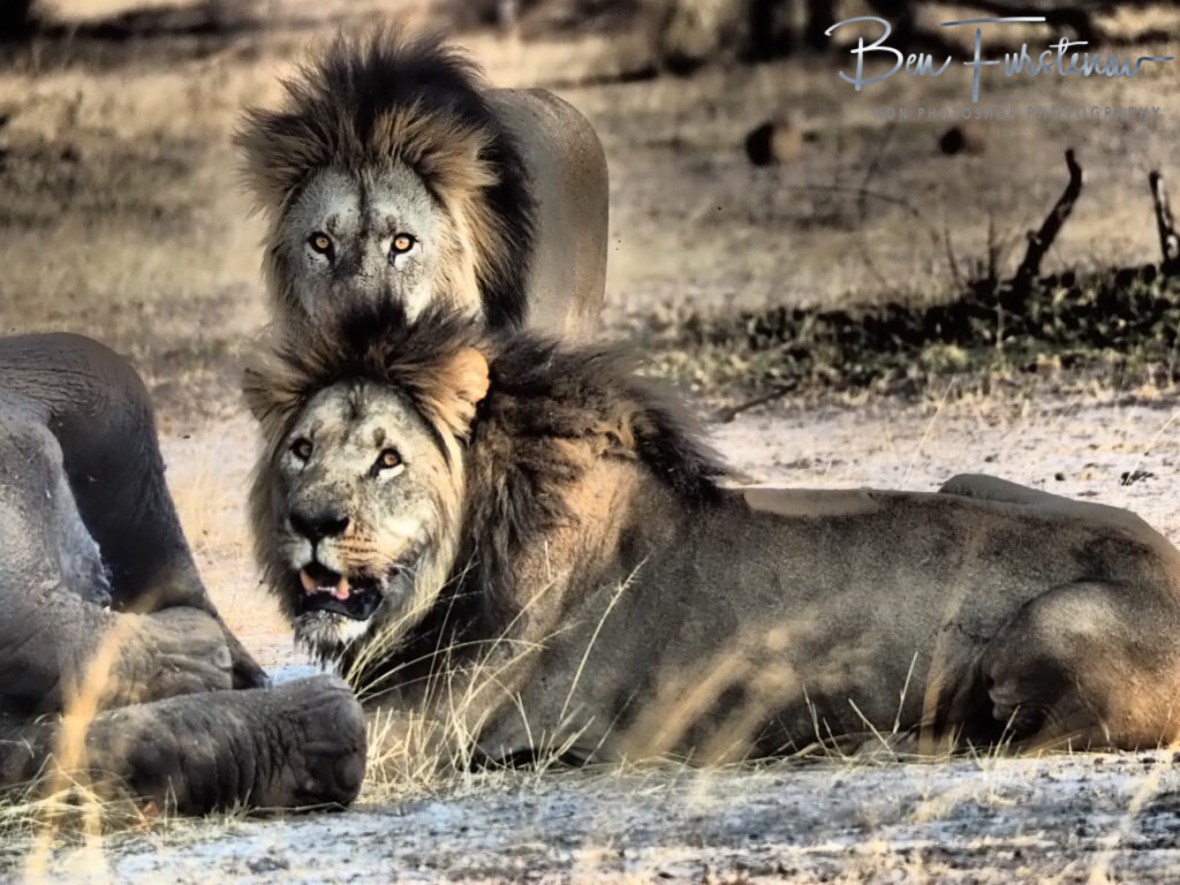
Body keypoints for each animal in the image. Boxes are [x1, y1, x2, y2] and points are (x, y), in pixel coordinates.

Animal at [245, 303, 1180, 765]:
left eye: (389, 458)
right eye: (302, 449)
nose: (312, 523)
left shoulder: (427, 729)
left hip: (1046, 626)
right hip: (969, 479)